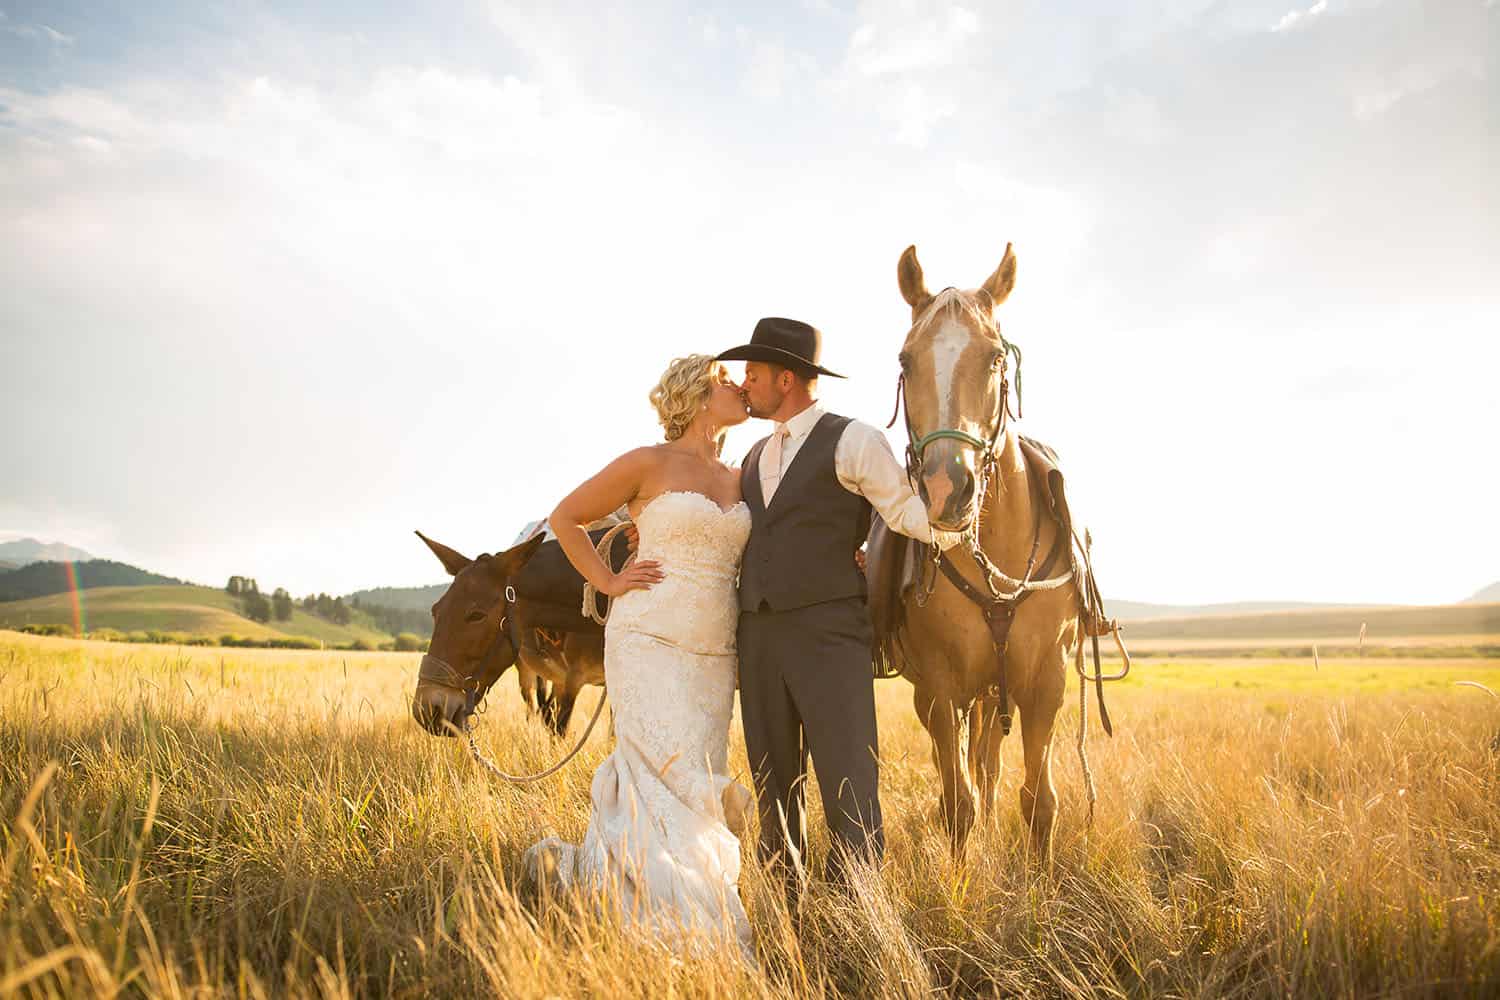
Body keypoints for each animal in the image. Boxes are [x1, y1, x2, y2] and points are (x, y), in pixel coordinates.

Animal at [870, 242, 1116, 863]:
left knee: (989, 766)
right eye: (906, 359)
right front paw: (961, 878)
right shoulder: (938, 690)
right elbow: (957, 802)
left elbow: (1038, 799)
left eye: (994, 359)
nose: (946, 489)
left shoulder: (1045, 683)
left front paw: (1038, 883)